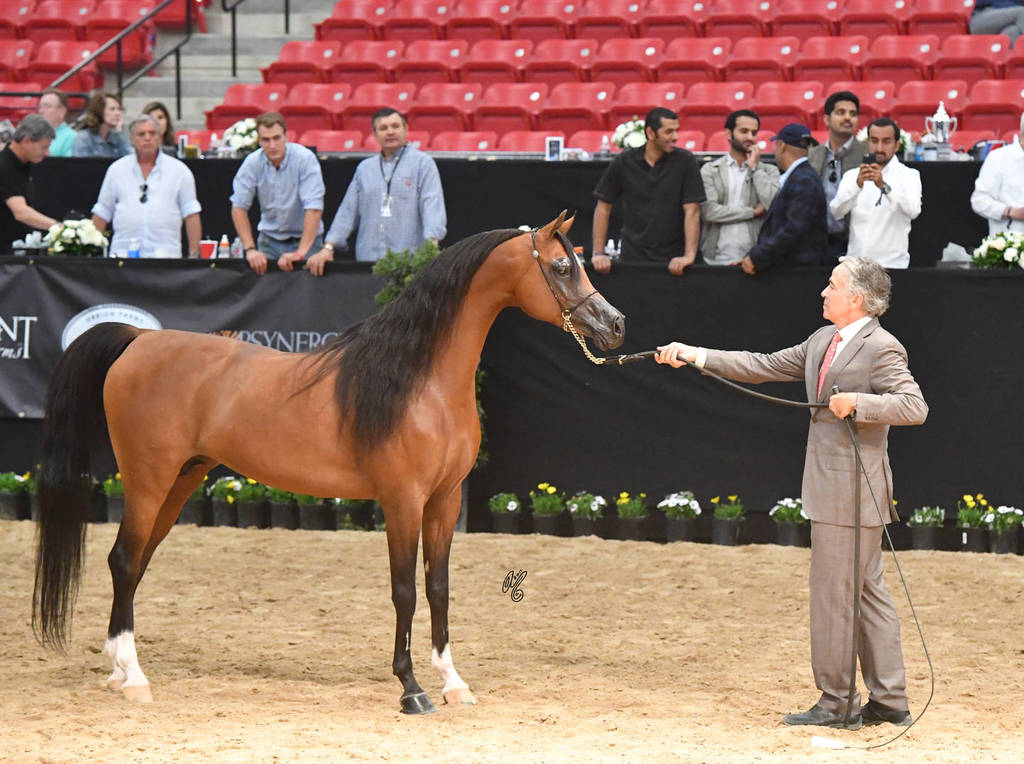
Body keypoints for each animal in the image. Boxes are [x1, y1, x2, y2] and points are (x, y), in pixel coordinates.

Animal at [33, 211, 625, 714]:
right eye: (561, 266)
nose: (615, 324)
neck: (420, 381)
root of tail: (139, 340)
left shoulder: (444, 499)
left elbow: (438, 588)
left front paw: (454, 683)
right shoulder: (402, 500)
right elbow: (405, 591)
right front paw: (411, 689)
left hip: (179, 482)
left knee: (132, 565)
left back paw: (119, 670)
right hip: (147, 482)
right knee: (124, 560)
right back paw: (133, 677)